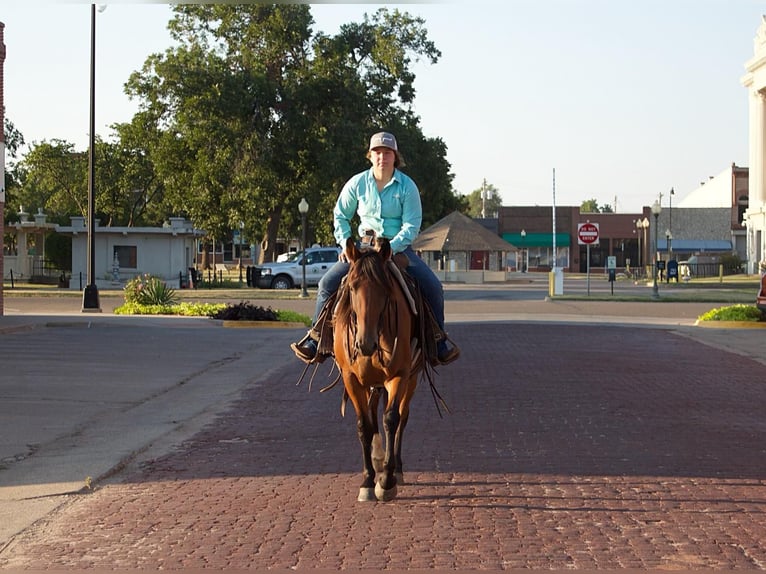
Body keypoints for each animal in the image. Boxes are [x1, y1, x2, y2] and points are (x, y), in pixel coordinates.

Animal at [334, 236, 424, 502]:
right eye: (353, 288)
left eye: (385, 290)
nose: (365, 343)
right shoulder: (351, 378)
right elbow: (364, 425)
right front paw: (367, 480)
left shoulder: (399, 375)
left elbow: (391, 419)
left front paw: (386, 481)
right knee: (373, 413)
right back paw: (376, 458)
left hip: (411, 379)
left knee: (402, 417)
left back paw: (395, 467)